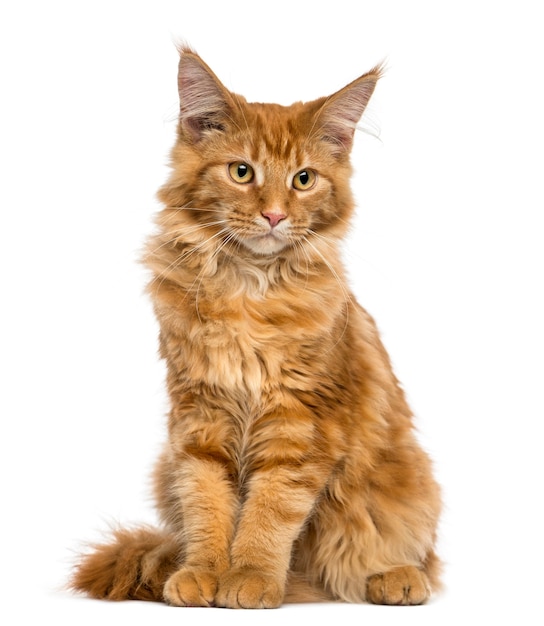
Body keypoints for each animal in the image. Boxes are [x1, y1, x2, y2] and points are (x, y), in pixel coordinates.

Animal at [70, 46, 442, 608]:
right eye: (242, 172)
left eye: (303, 179)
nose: (273, 215)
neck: (249, 288)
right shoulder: (198, 420)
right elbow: (207, 504)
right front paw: (203, 573)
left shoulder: (300, 423)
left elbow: (270, 512)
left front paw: (251, 577)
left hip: (406, 480)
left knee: (396, 557)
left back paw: (393, 578)